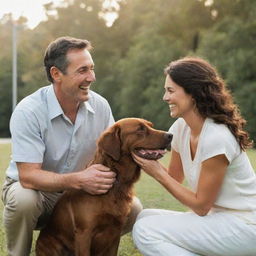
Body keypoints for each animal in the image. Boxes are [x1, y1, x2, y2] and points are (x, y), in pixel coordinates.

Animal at [35, 118, 172, 256]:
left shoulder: (116, 232)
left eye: (150, 126)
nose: (170, 135)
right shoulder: (84, 233)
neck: (117, 182)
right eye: (140, 129)